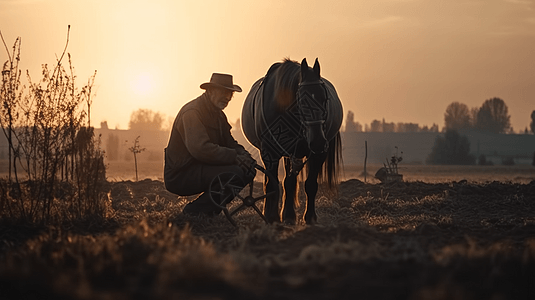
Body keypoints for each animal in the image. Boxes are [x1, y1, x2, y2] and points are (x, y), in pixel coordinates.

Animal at [242, 57, 344, 224]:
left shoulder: (316, 154)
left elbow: (309, 184)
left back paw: (288, 214)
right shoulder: (270, 152)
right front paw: (272, 217)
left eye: (325, 98)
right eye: (302, 100)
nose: (318, 141)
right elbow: (272, 185)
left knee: (290, 181)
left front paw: (309, 217)